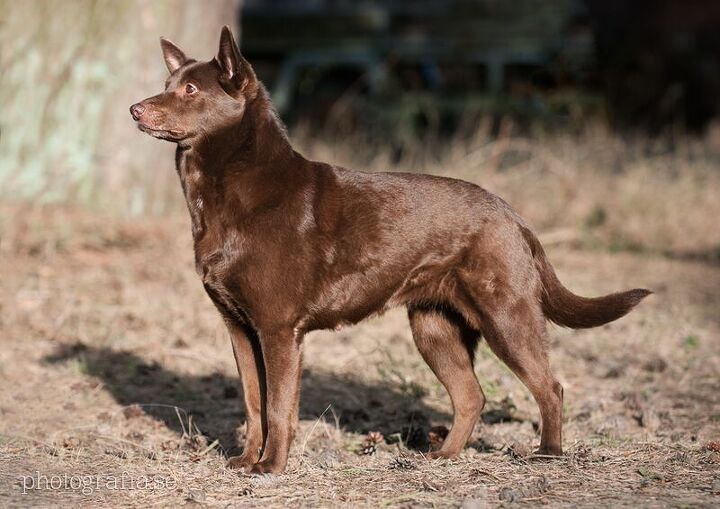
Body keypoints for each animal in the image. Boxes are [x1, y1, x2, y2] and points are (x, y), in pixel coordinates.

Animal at [131, 26, 652, 472]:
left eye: (190, 90)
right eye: (166, 83)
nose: (136, 109)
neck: (232, 191)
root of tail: (513, 216)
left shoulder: (278, 329)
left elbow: (279, 407)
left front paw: (271, 468)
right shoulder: (239, 327)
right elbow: (253, 401)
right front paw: (244, 461)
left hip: (507, 316)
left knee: (550, 387)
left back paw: (548, 454)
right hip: (434, 327)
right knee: (472, 396)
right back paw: (444, 457)